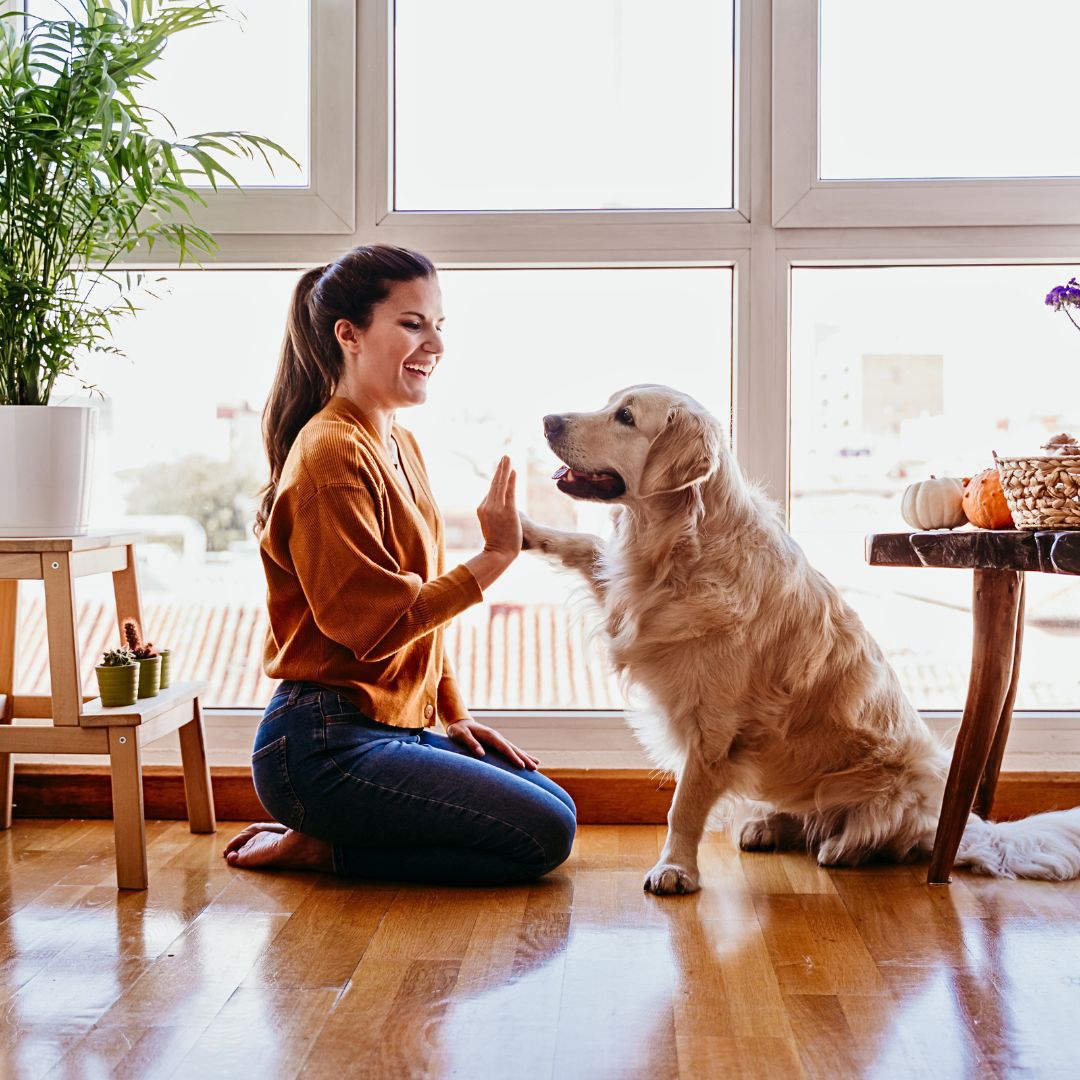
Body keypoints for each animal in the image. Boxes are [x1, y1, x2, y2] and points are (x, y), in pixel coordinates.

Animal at [520, 384, 1080, 889]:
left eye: (626, 417)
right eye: (610, 404)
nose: (546, 420)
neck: (677, 549)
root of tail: (967, 827)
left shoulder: (713, 727)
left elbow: (683, 807)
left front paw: (675, 869)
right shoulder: (628, 595)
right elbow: (584, 543)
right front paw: (523, 527)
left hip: (909, 778)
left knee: (886, 835)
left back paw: (844, 847)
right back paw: (768, 826)